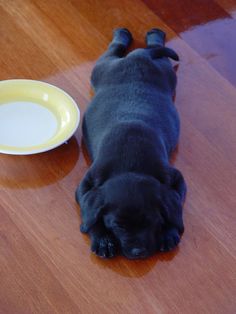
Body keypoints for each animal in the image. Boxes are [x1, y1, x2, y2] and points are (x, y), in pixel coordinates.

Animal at [76, 28, 187, 260]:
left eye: (152, 221)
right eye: (118, 226)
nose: (138, 253)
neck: (131, 167)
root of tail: (139, 56)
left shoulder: (175, 178)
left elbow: (176, 205)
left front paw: (169, 233)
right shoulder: (86, 183)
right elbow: (88, 213)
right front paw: (102, 239)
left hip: (163, 72)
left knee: (145, 48)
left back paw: (147, 34)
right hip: (103, 69)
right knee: (116, 49)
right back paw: (127, 34)